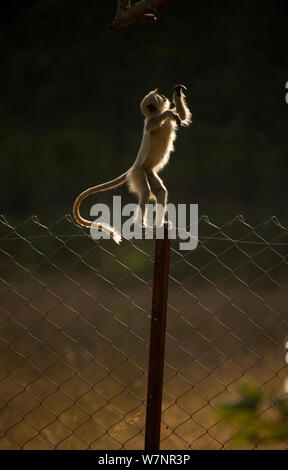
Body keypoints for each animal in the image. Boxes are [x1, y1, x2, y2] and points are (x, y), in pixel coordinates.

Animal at [73, 83, 192, 242]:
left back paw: (160, 224)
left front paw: (177, 92)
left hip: (148, 171)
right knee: (146, 192)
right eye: (159, 96)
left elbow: (182, 116)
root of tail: (133, 167)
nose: (164, 96)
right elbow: (161, 120)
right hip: (138, 173)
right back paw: (140, 224)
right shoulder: (150, 123)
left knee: (161, 191)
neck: (155, 115)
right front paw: (169, 112)